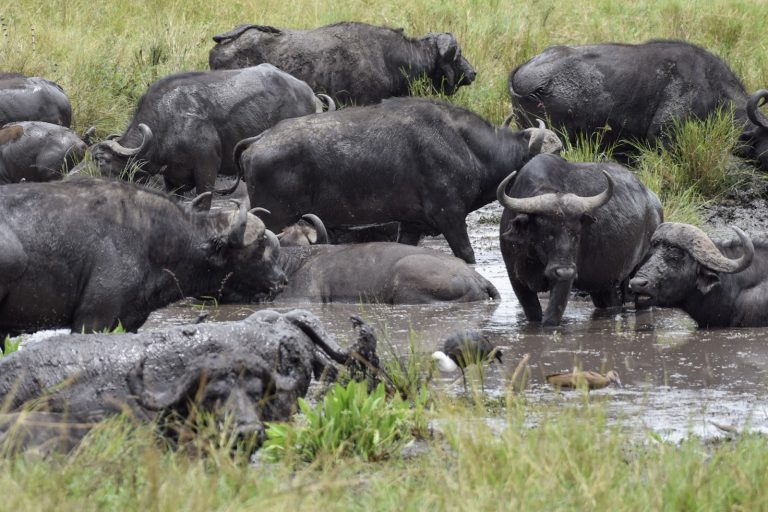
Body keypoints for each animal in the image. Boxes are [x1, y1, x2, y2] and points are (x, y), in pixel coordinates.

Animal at [73, 64, 332, 194]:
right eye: (86, 156)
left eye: (101, 160)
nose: (73, 176)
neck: (165, 129)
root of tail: (309, 94)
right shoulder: (172, 181)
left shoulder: (207, 172)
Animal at [238, 97, 562, 264]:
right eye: (547, 157)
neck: (466, 146)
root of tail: (259, 140)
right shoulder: (451, 217)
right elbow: (466, 255)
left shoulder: (411, 225)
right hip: (276, 218)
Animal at [498, 154, 663, 326]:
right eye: (547, 233)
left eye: (576, 234)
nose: (565, 270)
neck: (534, 257)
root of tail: (653, 201)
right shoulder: (516, 280)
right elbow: (533, 313)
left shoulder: (564, 280)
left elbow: (551, 316)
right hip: (603, 283)